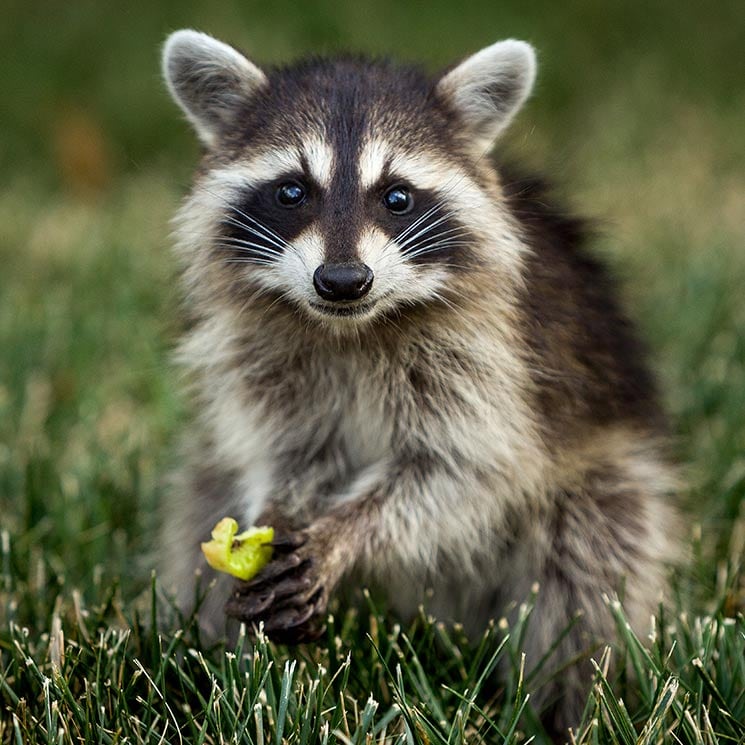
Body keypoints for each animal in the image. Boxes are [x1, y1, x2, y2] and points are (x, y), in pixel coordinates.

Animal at [158, 30, 680, 732]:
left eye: (397, 197)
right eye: (292, 192)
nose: (342, 281)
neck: (351, 329)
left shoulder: (494, 363)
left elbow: (466, 473)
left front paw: (346, 534)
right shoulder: (265, 357)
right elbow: (291, 450)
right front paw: (278, 510)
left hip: (602, 483)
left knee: (589, 563)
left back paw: (561, 706)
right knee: (202, 506)